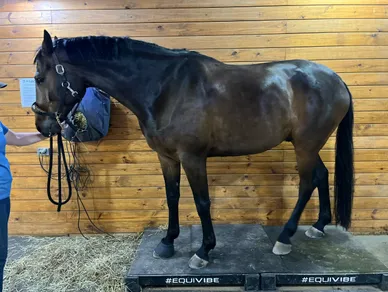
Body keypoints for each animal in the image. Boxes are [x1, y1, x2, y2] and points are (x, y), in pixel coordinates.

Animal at [32, 29, 354, 270]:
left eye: (38, 77)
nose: (42, 125)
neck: (165, 88)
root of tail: (337, 80)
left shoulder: (193, 157)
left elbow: (202, 202)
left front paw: (204, 250)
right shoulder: (166, 157)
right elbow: (172, 196)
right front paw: (167, 242)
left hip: (305, 147)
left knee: (306, 184)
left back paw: (285, 238)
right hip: (308, 146)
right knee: (322, 175)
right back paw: (319, 226)